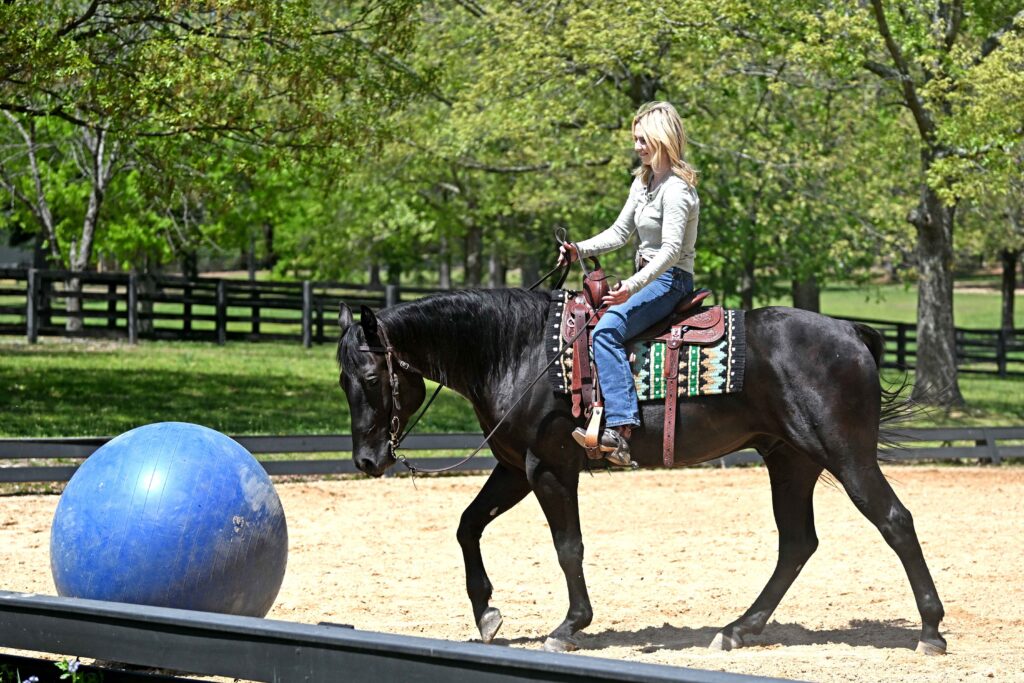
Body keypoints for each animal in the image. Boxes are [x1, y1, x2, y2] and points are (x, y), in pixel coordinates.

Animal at [335, 287, 946, 655]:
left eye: (370, 377)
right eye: (343, 380)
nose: (366, 461)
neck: (521, 352)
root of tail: (849, 332)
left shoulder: (550, 468)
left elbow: (568, 547)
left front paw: (569, 626)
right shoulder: (513, 468)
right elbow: (467, 526)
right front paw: (486, 613)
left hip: (846, 456)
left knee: (895, 521)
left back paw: (931, 631)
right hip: (789, 461)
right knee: (797, 543)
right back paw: (737, 630)